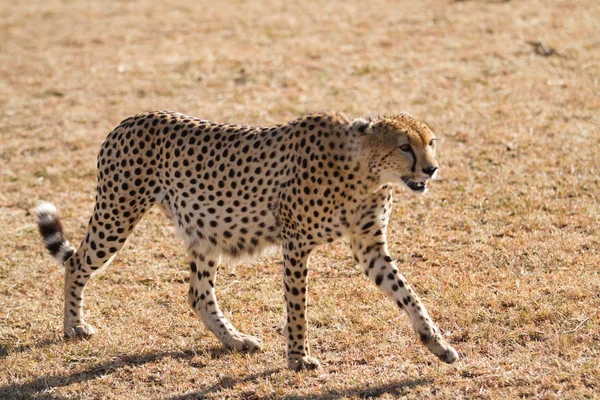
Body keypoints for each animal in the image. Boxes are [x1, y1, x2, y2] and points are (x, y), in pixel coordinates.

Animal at [35, 111, 460, 370]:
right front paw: (298, 358)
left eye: (431, 142)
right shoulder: (296, 243)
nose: (431, 169)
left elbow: (408, 294)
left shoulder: (370, 247)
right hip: (117, 213)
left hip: (204, 231)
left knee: (198, 295)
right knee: (76, 263)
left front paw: (436, 343)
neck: (363, 171)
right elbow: (297, 307)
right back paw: (74, 327)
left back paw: (235, 340)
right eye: (404, 146)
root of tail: (127, 121)